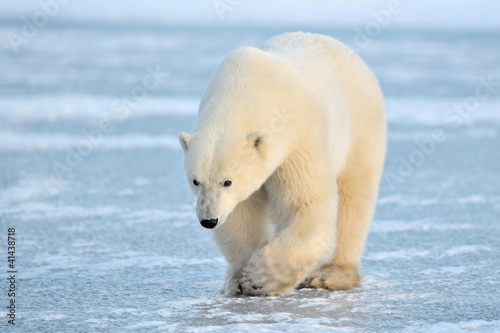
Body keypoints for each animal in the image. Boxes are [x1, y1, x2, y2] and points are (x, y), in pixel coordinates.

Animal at [180, 31, 386, 296]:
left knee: (353, 199)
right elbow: (240, 214)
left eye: (227, 181)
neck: (249, 87)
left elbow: (306, 205)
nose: (208, 220)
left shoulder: (298, 138)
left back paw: (330, 276)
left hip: (360, 130)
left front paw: (259, 277)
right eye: (195, 181)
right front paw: (239, 279)